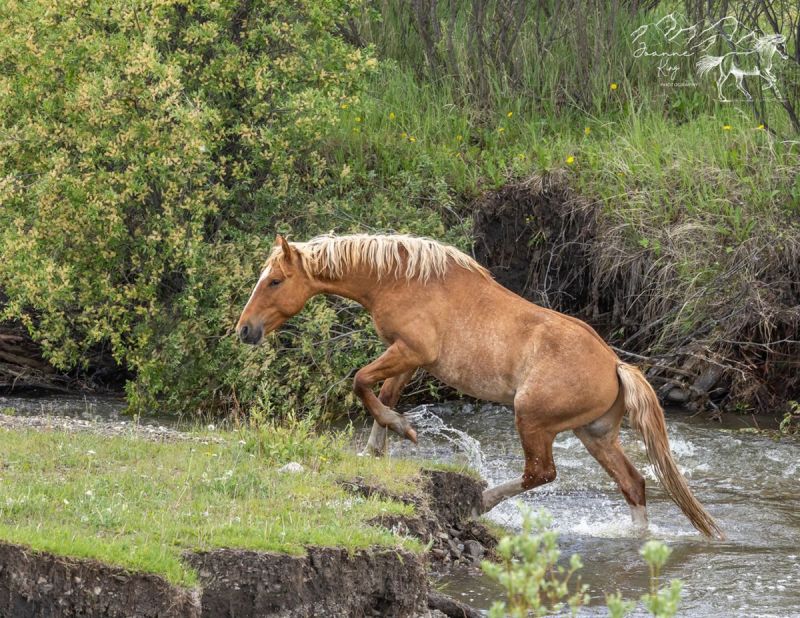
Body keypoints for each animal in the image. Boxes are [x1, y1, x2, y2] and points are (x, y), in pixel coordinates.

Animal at [236, 233, 724, 539]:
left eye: (275, 281)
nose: (245, 330)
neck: (400, 278)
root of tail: (615, 364)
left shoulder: (410, 352)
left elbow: (360, 382)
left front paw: (402, 431)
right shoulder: (407, 357)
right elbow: (382, 393)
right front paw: (379, 447)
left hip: (532, 419)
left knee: (542, 473)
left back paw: (480, 501)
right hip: (595, 434)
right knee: (634, 484)